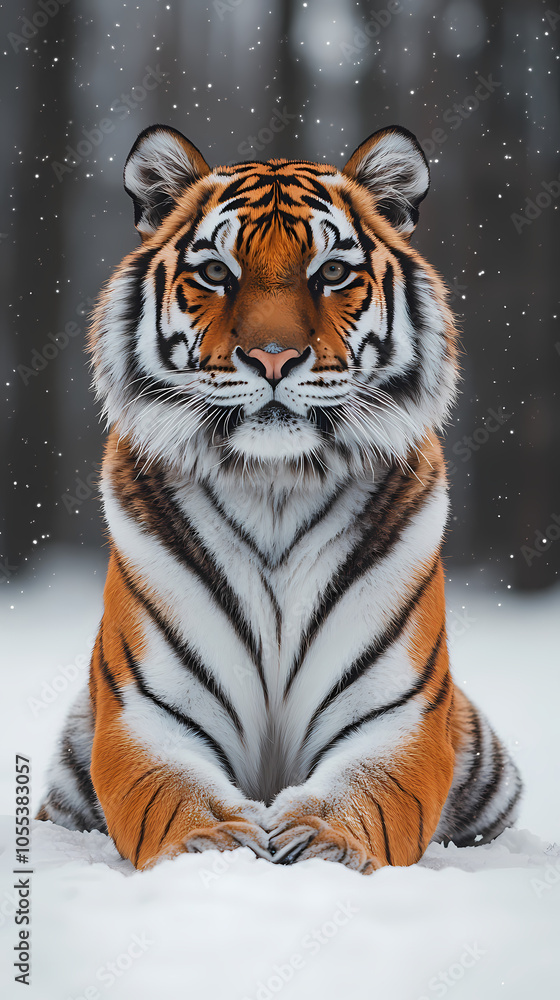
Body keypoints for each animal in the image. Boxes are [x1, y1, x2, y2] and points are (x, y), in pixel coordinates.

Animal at [37, 123, 522, 873]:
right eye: (216, 274)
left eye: (332, 273)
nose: (272, 356)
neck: (275, 485)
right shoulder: (148, 716)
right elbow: (175, 799)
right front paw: (213, 850)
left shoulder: (397, 716)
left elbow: (364, 796)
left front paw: (322, 843)